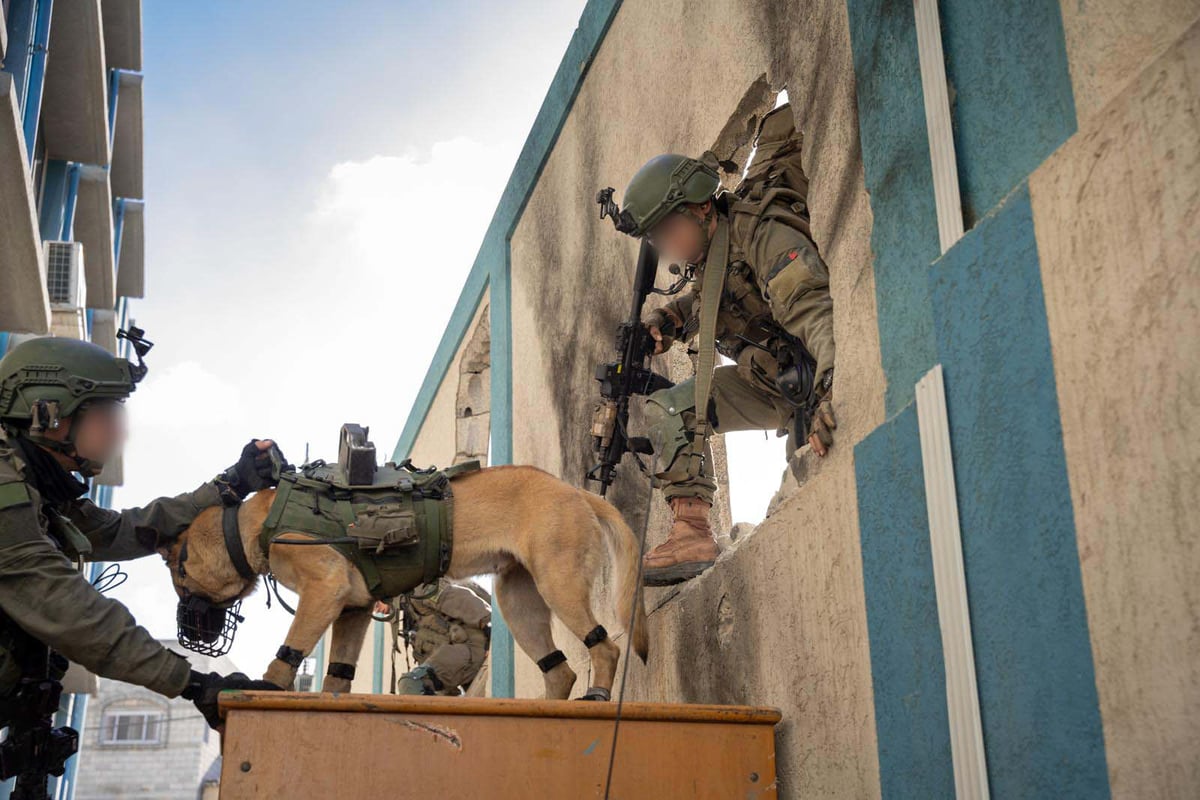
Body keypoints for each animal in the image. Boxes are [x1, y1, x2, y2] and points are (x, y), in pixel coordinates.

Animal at [162, 465, 648, 695]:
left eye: (177, 580)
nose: (186, 630)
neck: (252, 526)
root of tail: (576, 491)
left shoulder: (324, 592)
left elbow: (287, 656)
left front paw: (266, 689)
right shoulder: (354, 611)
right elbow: (337, 676)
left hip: (557, 584)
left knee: (605, 647)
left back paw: (597, 697)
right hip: (518, 601)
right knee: (559, 672)